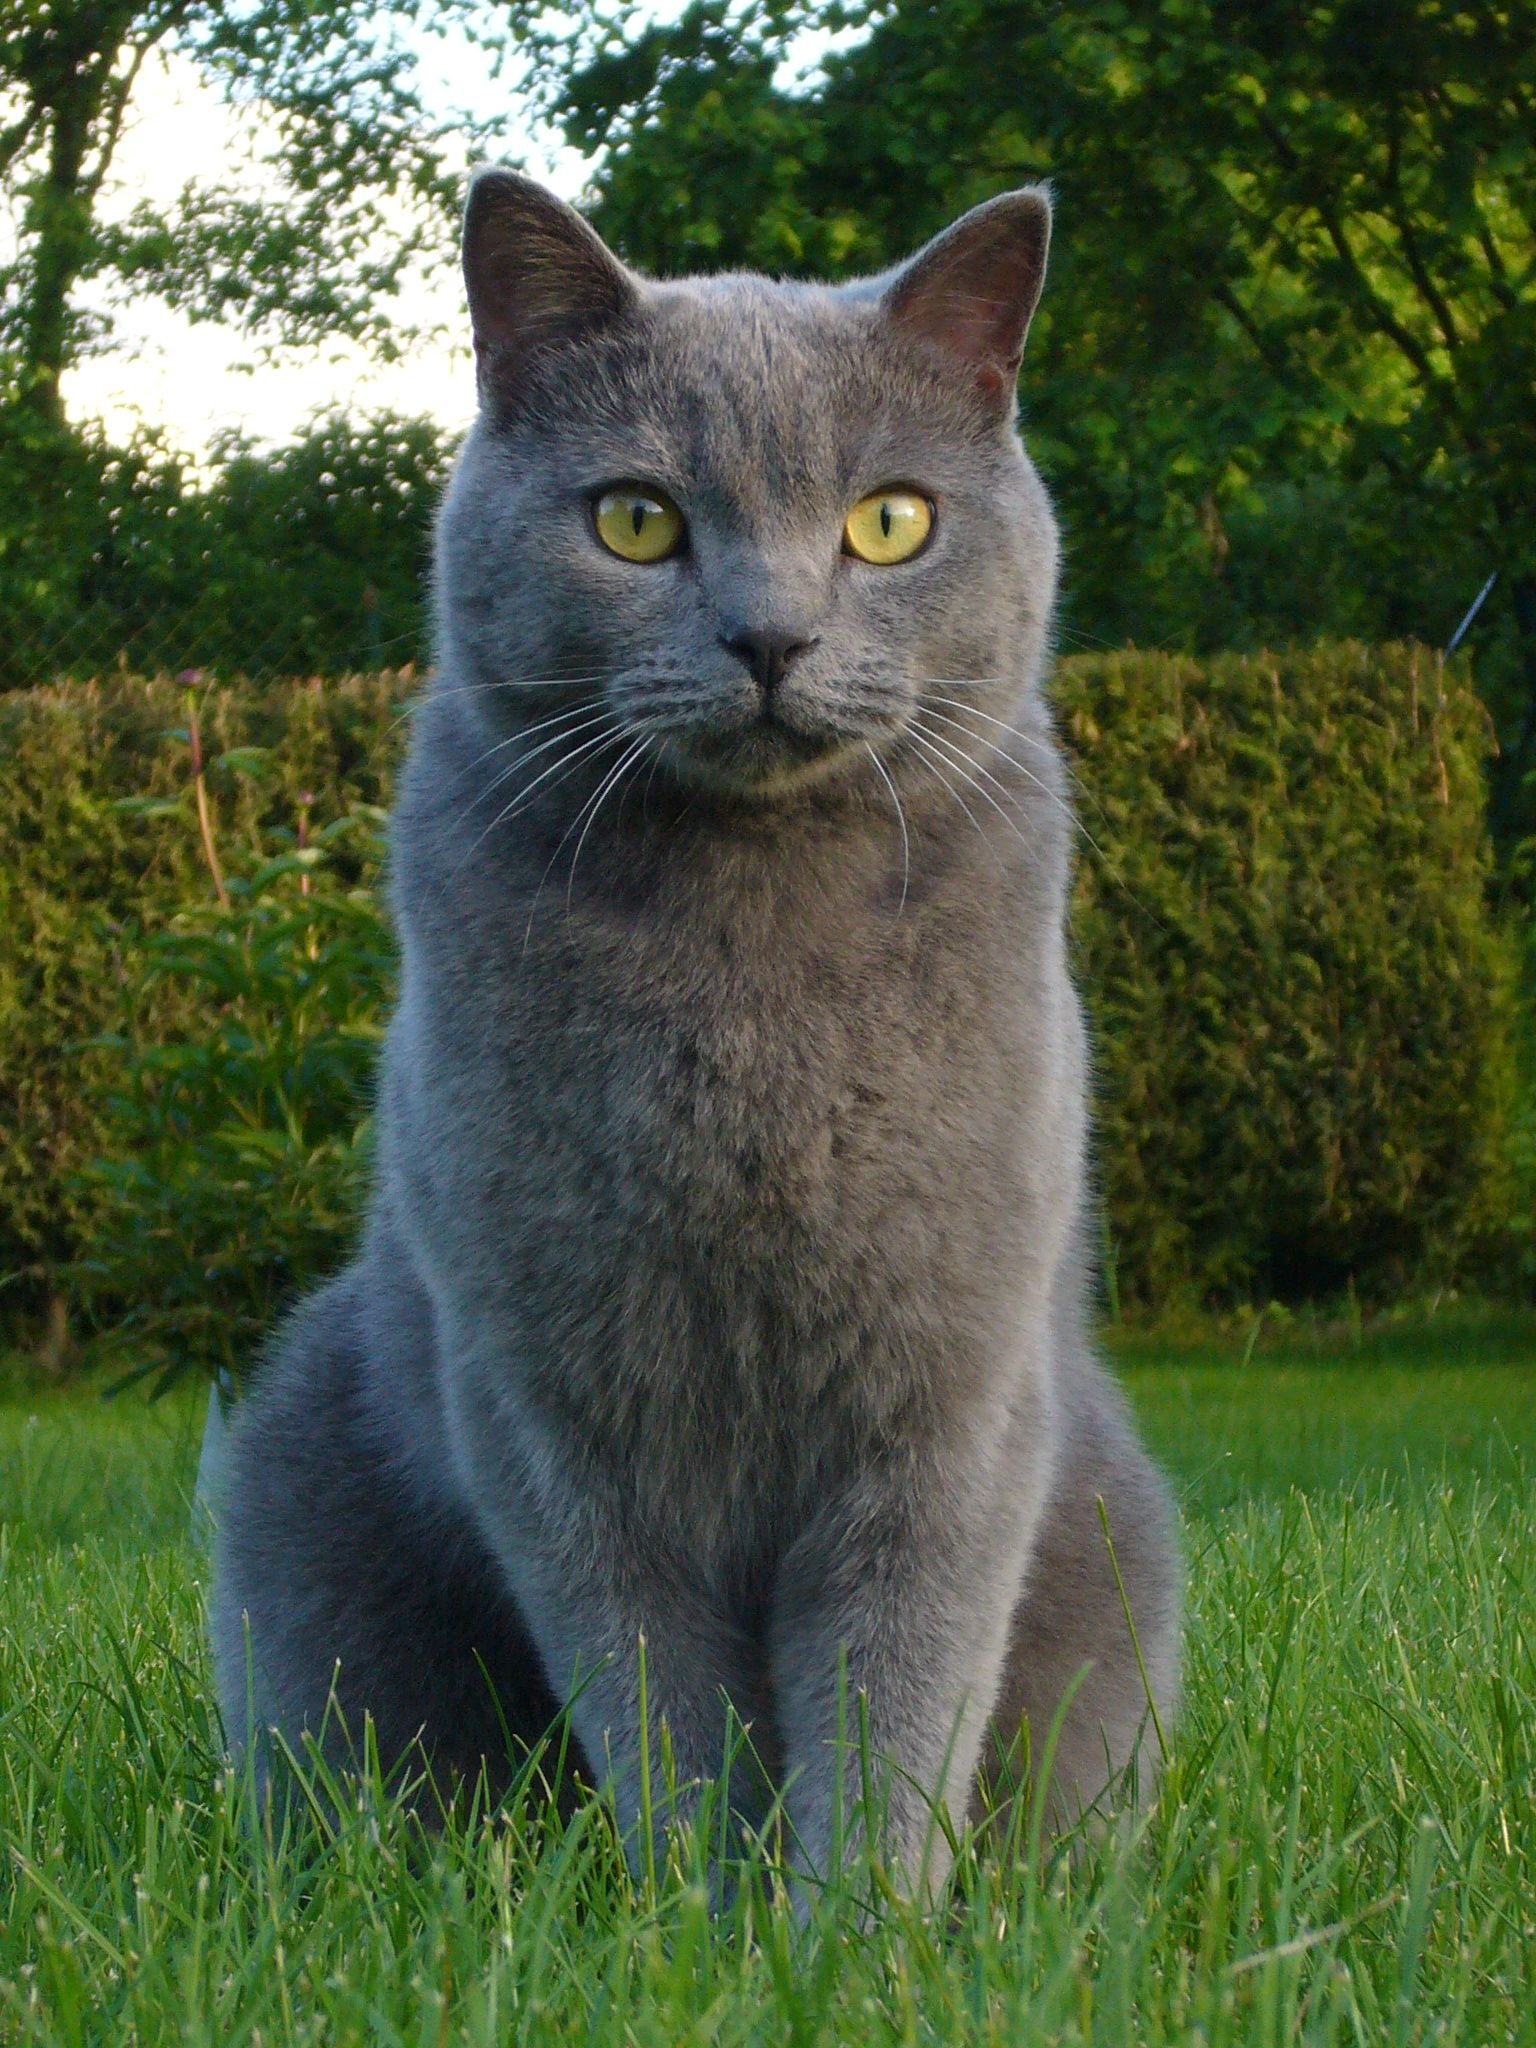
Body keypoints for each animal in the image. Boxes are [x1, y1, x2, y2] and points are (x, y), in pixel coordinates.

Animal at [210, 167, 1179, 1892]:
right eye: (636, 519)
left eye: (890, 520)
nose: (770, 639)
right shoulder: (556, 1408)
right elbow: (661, 1704)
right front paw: (698, 1915)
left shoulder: (946, 1397)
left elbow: (897, 1691)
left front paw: (861, 1926)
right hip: (313, 1473)